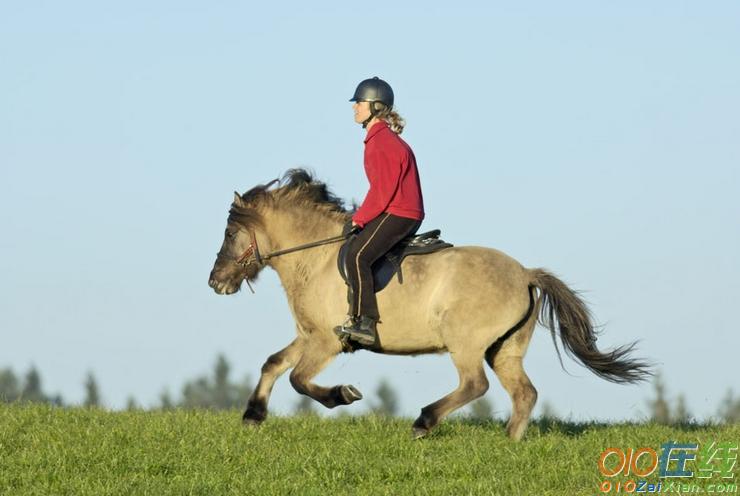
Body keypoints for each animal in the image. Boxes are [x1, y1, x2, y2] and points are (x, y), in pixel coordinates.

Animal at [207, 170, 648, 438]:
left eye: (229, 233)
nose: (215, 282)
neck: (315, 257)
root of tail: (525, 273)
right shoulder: (310, 335)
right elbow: (273, 363)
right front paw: (252, 416)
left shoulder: (327, 342)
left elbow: (299, 379)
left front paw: (344, 395)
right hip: (504, 348)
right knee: (524, 393)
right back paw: (509, 442)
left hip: (465, 342)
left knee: (475, 384)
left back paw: (425, 420)